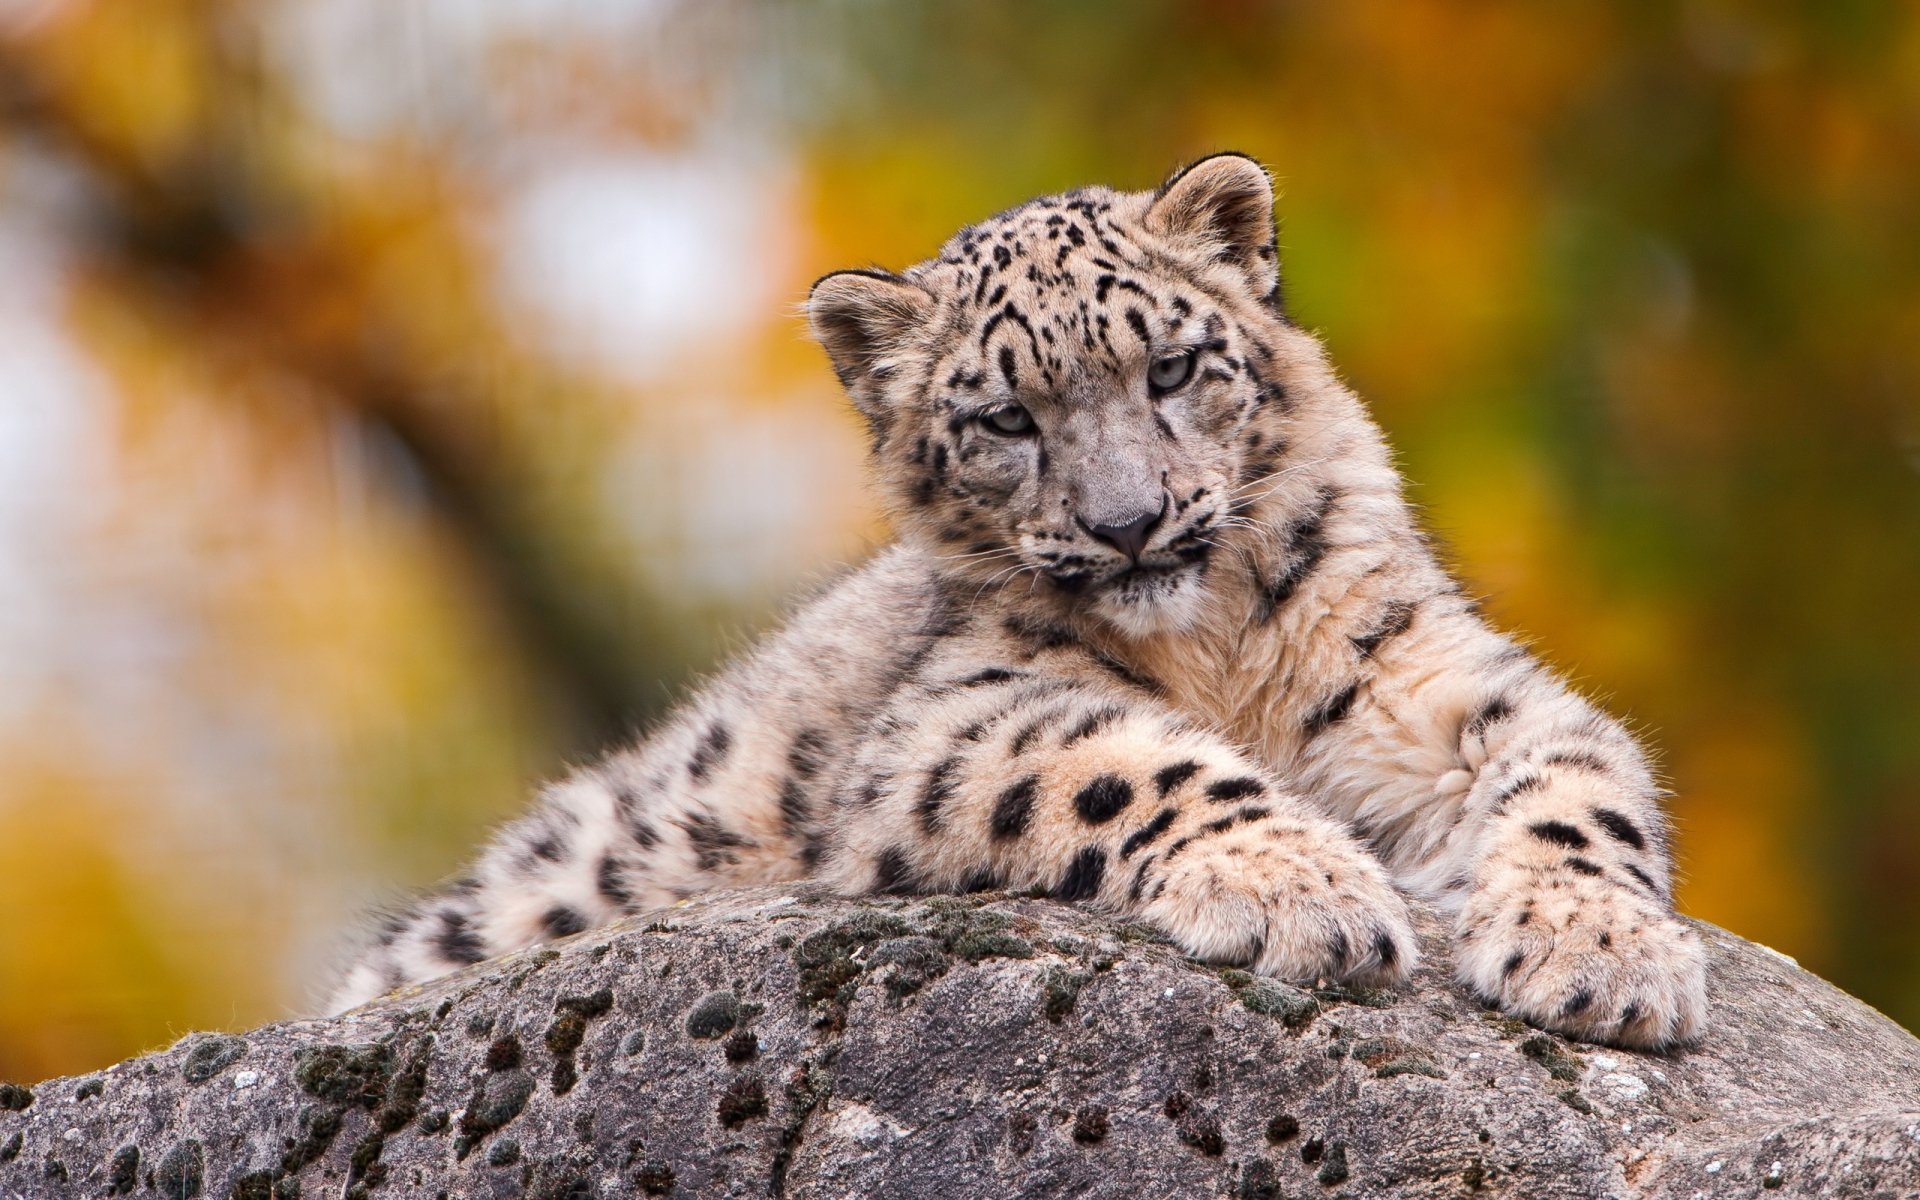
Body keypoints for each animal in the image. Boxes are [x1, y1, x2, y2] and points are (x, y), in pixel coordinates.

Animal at [328, 153, 1708, 1050]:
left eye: (1172, 367)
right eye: (1005, 420)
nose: (1128, 521)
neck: (1216, 649)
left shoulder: (1438, 680)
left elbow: (1578, 782)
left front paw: (1603, 957)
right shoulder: (953, 722)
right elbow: (1138, 760)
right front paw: (1301, 893)